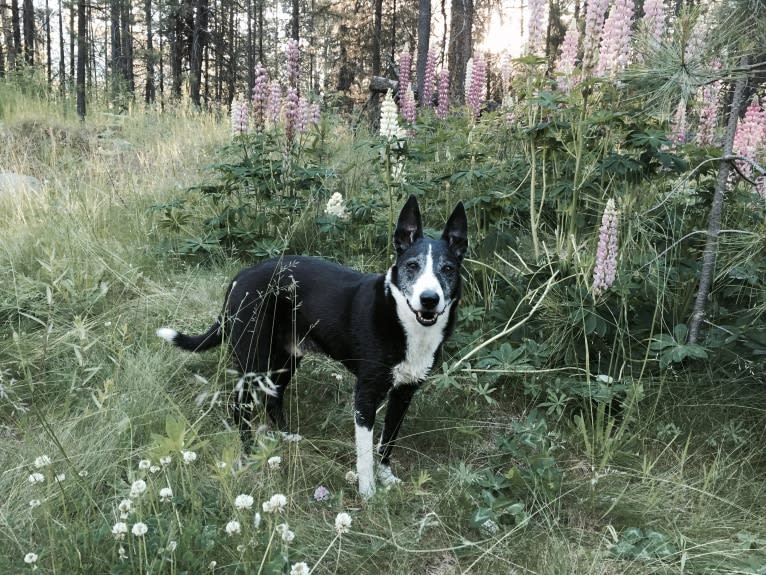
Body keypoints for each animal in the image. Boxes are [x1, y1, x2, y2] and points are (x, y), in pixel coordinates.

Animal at [157, 196, 468, 498]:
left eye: (447, 270)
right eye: (412, 266)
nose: (429, 299)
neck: (401, 317)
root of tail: (241, 276)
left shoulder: (404, 393)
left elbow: (388, 440)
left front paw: (386, 477)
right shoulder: (365, 395)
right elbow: (365, 453)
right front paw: (368, 493)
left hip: (286, 359)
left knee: (273, 397)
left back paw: (286, 437)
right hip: (252, 359)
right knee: (239, 405)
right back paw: (248, 453)